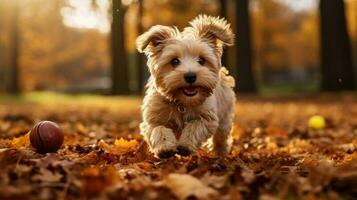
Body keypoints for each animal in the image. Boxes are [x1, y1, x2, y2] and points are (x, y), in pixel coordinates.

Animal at [135, 14, 235, 158]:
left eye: (201, 60)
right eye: (174, 61)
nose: (190, 76)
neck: (182, 102)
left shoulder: (207, 117)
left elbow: (194, 126)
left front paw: (185, 145)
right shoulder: (153, 119)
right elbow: (159, 129)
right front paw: (164, 147)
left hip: (224, 116)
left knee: (220, 137)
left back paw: (220, 152)